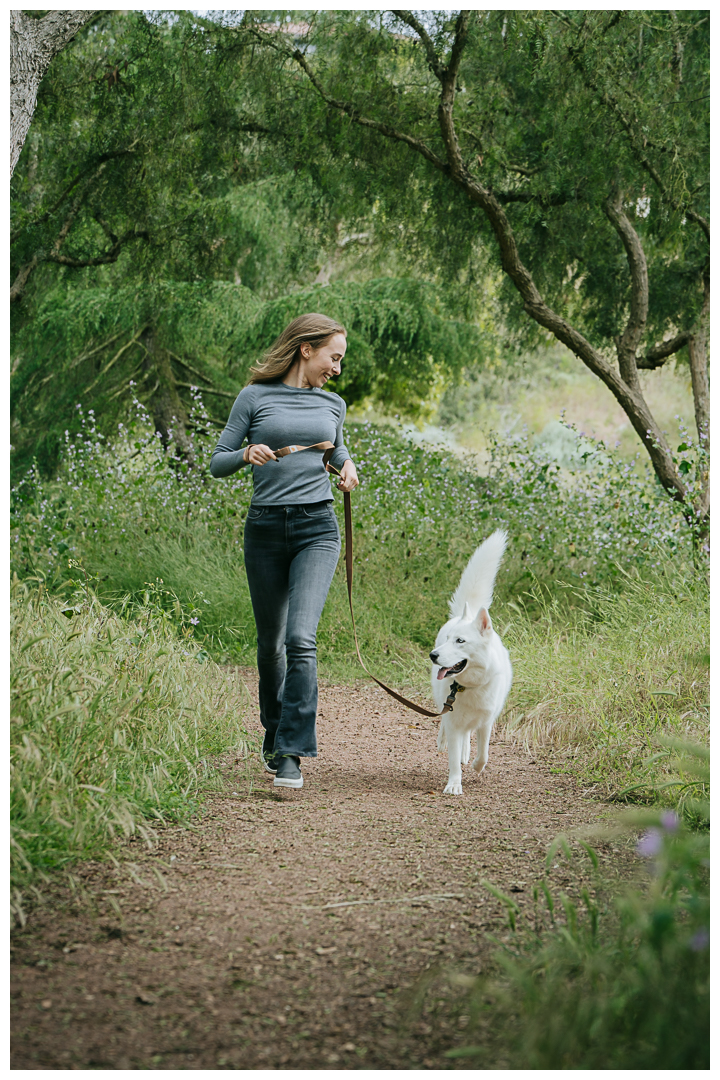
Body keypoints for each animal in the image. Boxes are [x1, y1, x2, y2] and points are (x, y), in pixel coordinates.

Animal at [427, 531, 511, 794]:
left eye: (460, 641)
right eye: (447, 639)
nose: (433, 655)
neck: (467, 686)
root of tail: (471, 612)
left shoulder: (487, 721)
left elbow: (483, 752)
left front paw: (476, 766)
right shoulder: (453, 720)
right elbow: (453, 758)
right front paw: (454, 784)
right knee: (447, 727)